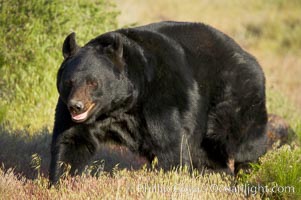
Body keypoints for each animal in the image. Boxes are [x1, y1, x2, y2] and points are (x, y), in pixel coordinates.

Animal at [49, 21, 268, 185]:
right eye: (69, 81)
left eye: (93, 82)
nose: (76, 106)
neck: (120, 106)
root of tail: (249, 57)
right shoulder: (79, 115)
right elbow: (71, 141)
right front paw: (61, 182)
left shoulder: (162, 98)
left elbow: (170, 143)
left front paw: (172, 179)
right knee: (206, 153)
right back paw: (217, 175)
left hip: (234, 95)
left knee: (243, 139)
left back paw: (248, 172)